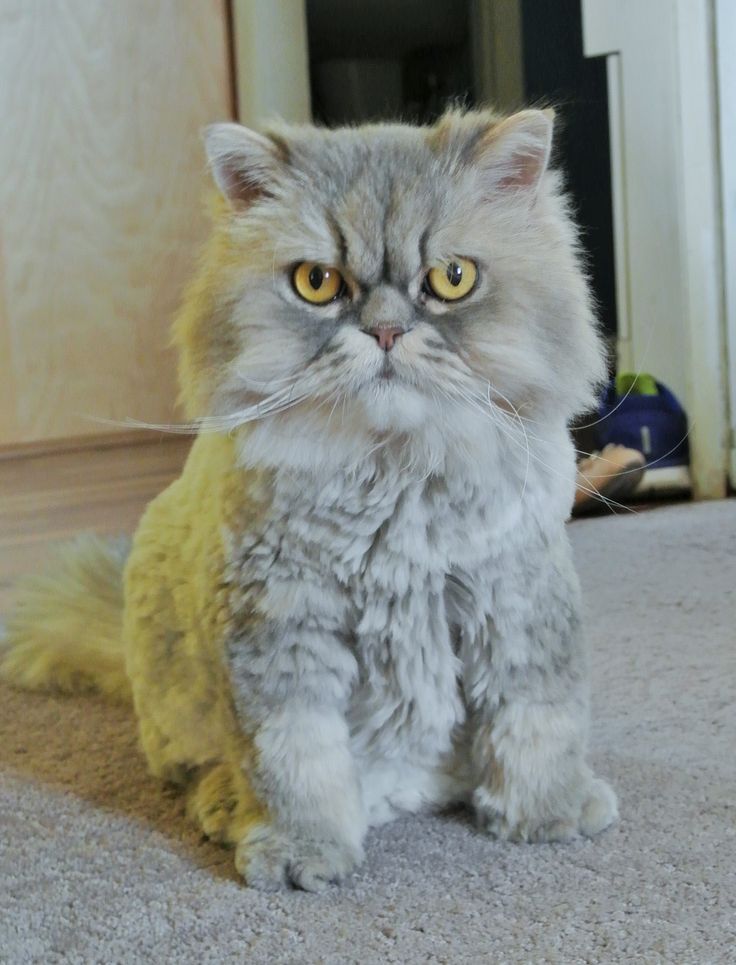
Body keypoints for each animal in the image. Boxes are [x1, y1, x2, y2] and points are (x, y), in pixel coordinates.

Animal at [2, 105, 620, 888]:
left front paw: (548, 813)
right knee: (198, 766)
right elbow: (295, 761)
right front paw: (304, 854)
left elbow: (537, 720)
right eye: (318, 282)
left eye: (451, 279)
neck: (395, 474)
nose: (385, 331)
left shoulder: (516, 599)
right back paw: (226, 807)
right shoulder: (280, 627)